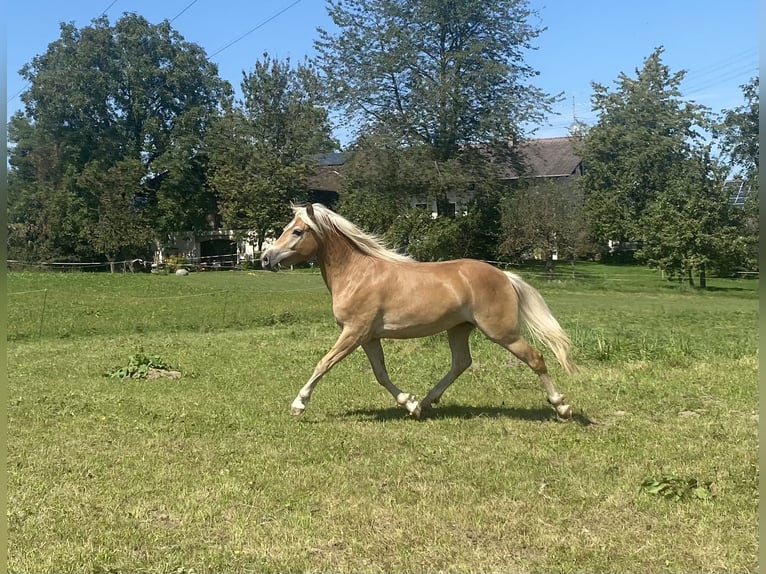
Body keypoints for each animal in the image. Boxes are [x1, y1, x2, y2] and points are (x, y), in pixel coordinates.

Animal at [262, 205, 576, 420]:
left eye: (297, 231)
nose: (266, 258)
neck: (357, 274)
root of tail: (504, 276)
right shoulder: (368, 337)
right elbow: (381, 374)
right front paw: (410, 404)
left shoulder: (354, 332)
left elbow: (323, 363)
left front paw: (298, 404)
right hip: (459, 328)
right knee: (461, 362)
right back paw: (426, 402)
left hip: (502, 332)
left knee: (535, 358)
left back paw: (561, 406)